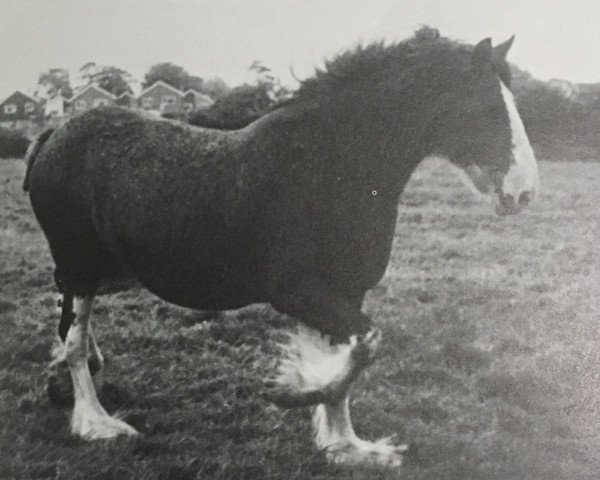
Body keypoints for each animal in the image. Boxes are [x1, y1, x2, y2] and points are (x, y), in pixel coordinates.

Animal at [23, 28, 540, 466]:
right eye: (485, 107)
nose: (524, 193)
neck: (333, 166)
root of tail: (54, 134)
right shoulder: (296, 292)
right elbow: (366, 345)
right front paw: (296, 393)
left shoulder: (347, 292)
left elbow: (352, 356)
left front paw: (346, 445)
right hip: (82, 266)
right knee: (72, 337)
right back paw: (96, 423)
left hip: (106, 271)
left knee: (67, 319)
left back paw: (65, 385)